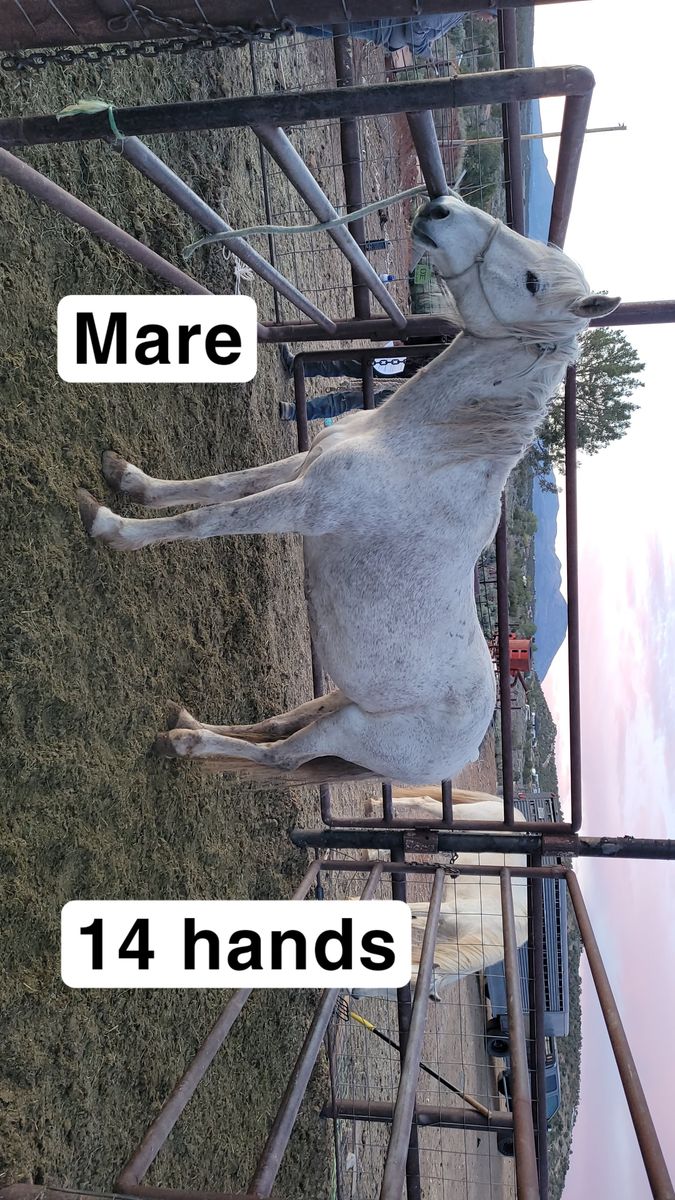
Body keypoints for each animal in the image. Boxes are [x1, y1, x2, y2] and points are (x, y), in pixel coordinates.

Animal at [77, 193, 619, 785]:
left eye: (531, 282)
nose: (440, 208)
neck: (417, 446)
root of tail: (465, 750)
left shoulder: (305, 505)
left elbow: (203, 520)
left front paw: (111, 526)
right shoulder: (302, 467)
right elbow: (218, 486)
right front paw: (128, 479)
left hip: (350, 729)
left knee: (283, 754)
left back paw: (185, 742)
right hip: (338, 700)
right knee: (277, 727)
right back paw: (190, 724)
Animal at [351, 793, 529, 1002]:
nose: (355, 994)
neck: (492, 923)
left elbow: (412, 918)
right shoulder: (449, 909)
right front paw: (352, 901)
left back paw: (369, 851)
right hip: (459, 818)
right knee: (423, 801)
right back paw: (373, 804)